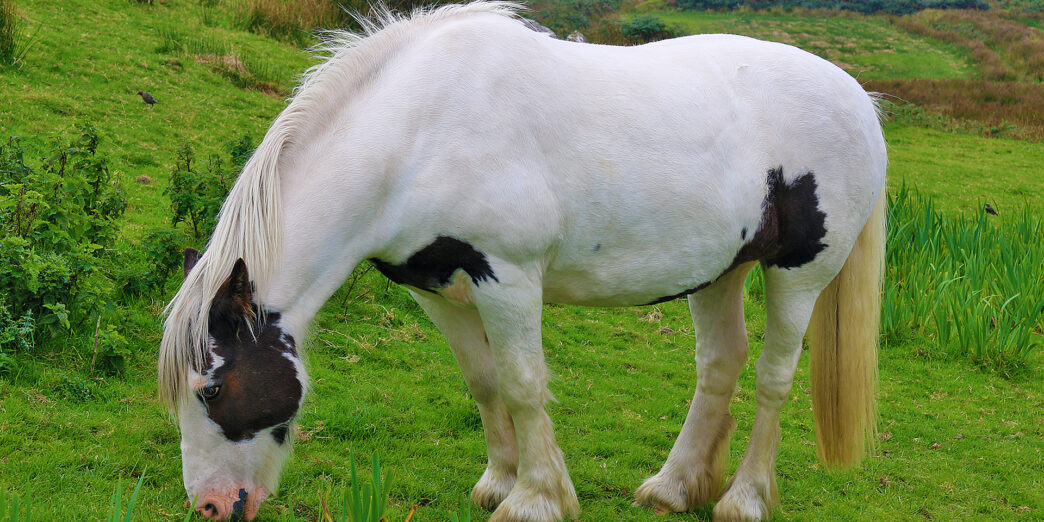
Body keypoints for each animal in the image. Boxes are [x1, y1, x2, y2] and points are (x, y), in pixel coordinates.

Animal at [158, 3, 886, 520]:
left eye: (211, 389)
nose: (211, 506)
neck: (417, 136)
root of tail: (858, 97)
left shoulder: (505, 277)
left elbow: (522, 383)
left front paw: (535, 499)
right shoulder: (435, 288)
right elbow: (483, 383)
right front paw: (497, 482)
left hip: (800, 274)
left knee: (773, 377)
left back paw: (744, 499)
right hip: (720, 270)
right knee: (719, 366)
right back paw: (674, 488)